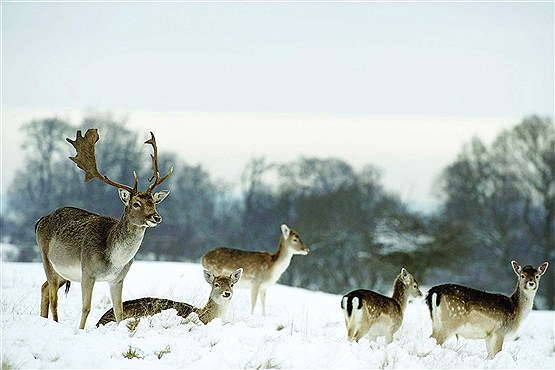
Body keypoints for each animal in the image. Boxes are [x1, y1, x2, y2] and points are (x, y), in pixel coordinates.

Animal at [35, 129, 174, 328]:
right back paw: (54, 322)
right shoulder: (87, 271)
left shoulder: (118, 278)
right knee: (54, 298)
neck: (114, 259)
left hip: (63, 273)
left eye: (154, 202)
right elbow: (86, 308)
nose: (156, 217)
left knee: (44, 287)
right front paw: (81, 330)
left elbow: (119, 312)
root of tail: (40, 220)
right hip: (47, 259)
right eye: (136, 204)